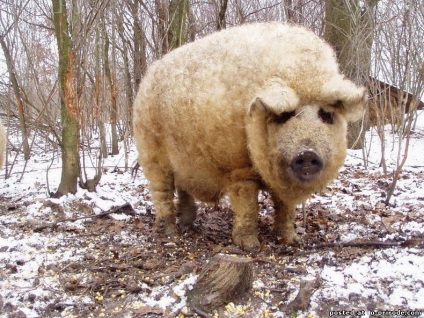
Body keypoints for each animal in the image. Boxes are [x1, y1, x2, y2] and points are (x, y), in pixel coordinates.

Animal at [134, 21, 366, 251]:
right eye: (284, 116)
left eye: (326, 115)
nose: (307, 153)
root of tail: (147, 77)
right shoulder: (238, 167)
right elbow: (248, 205)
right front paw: (250, 246)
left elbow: (285, 206)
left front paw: (290, 240)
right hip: (151, 153)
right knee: (161, 191)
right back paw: (169, 233)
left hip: (183, 161)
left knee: (183, 188)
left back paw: (187, 225)